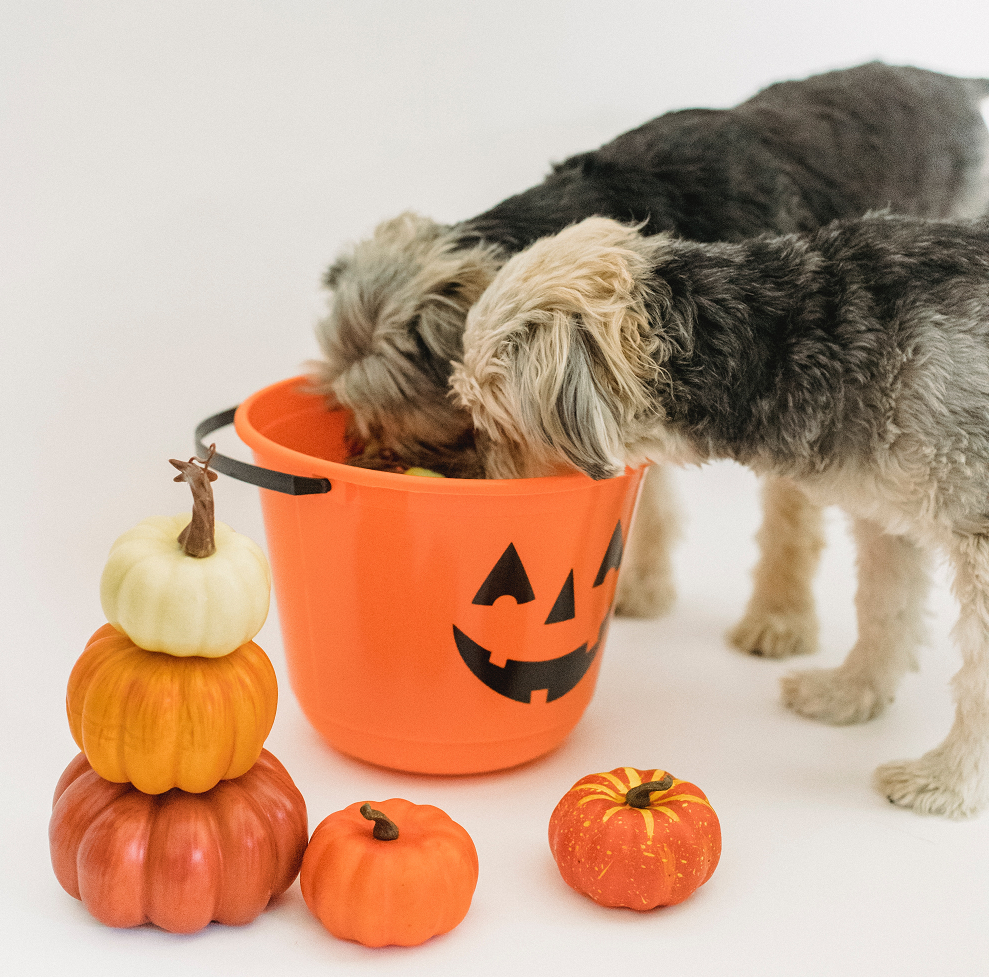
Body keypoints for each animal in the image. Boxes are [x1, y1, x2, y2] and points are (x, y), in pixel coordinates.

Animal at [310, 61, 988, 640]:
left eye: (439, 427)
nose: (370, 462)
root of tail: (953, 84)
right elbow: (652, 493)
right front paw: (644, 588)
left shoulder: (786, 375)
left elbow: (788, 519)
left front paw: (778, 619)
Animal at [452, 212, 988, 816]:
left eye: (487, 417)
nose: (481, 484)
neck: (786, 334)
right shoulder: (886, 519)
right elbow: (884, 611)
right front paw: (849, 695)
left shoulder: (980, 544)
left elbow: (977, 682)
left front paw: (947, 781)